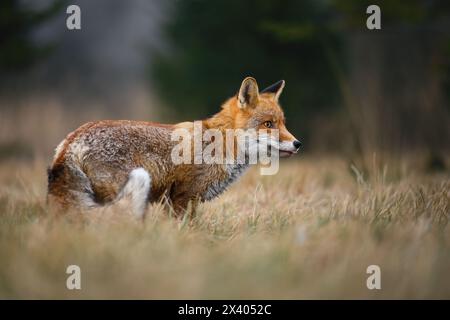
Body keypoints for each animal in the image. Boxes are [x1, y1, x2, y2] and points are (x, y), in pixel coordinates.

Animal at [47, 77, 302, 218]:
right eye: (268, 124)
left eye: (283, 123)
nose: (298, 144)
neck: (220, 142)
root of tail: (71, 140)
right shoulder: (183, 197)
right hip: (129, 190)